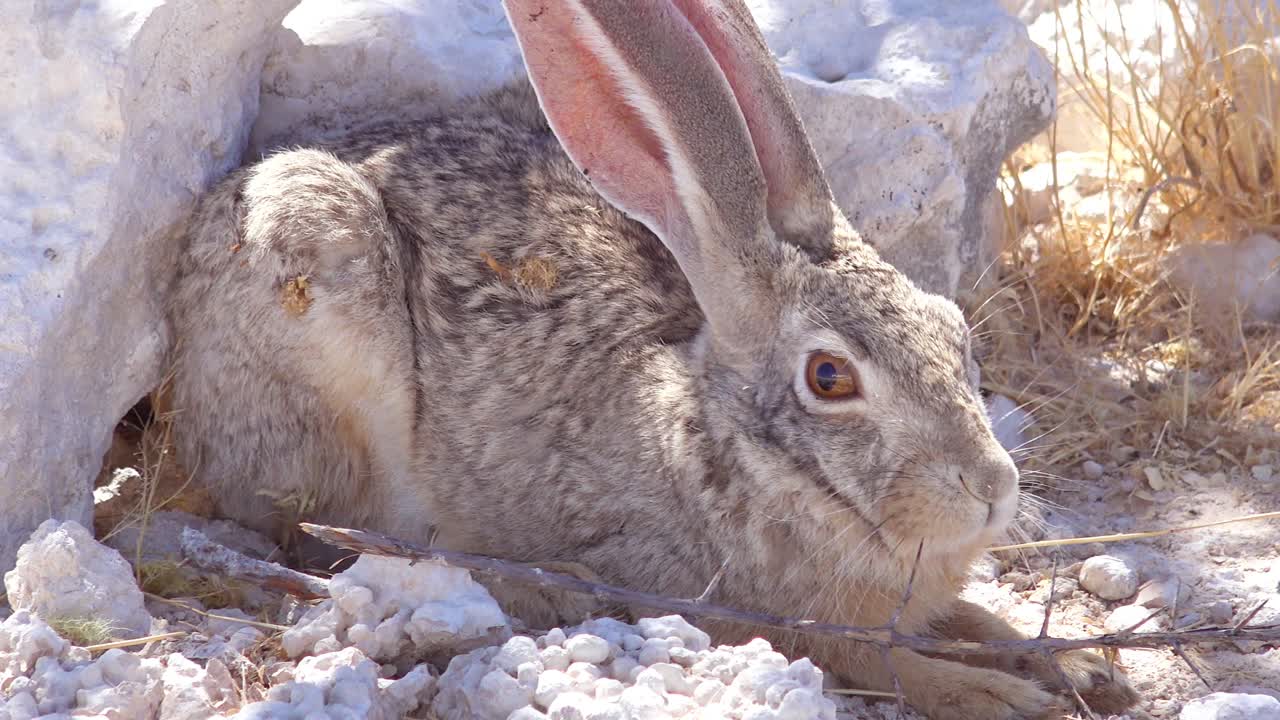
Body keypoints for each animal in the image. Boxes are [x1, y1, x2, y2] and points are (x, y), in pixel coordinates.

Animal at [165, 0, 1138, 717]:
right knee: (306, 529)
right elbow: (880, 660)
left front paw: (1086, 668)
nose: (991, 488)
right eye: (830, 378)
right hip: (318, 275)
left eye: (956, 335)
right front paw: (1009, 695)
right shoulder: (739, 612)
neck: (724, 454)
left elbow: (973, 615)